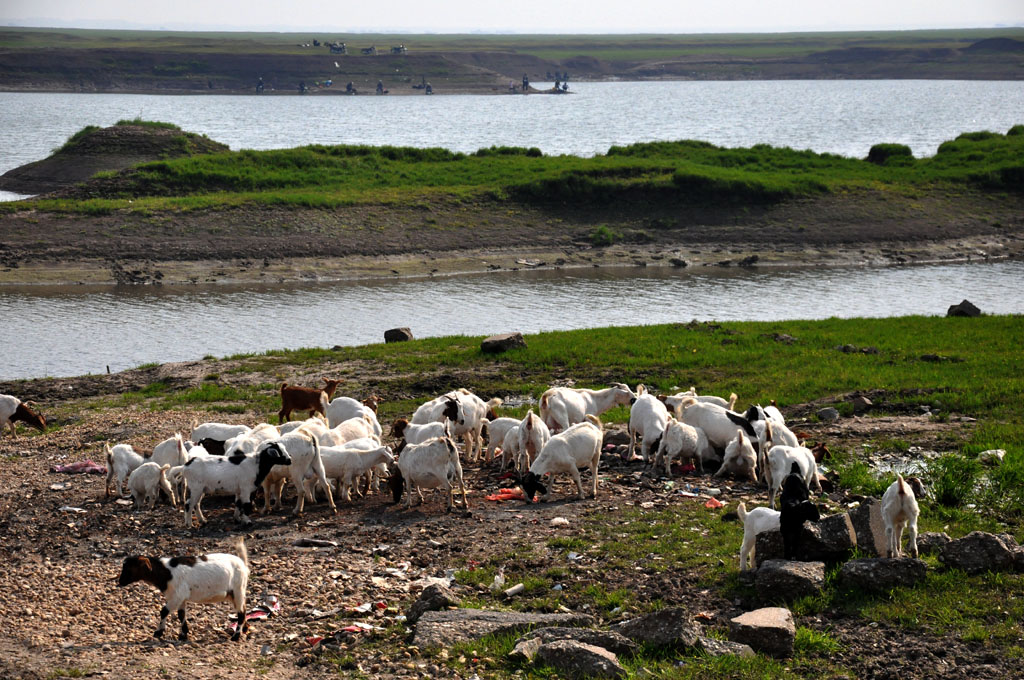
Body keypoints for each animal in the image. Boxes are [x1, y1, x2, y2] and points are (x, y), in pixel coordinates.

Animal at [116, 536, 249, 643]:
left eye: (129, 569)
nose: (120, 582)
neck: (166, 572)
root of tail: (243, 563)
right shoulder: (180, 597)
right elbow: (181, 615)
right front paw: (183, 634)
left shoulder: (177, 595)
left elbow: (164, 611)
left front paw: (159, 632)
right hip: (232, 594)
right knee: (243, 610)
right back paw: (245, 628)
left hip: (238, 590)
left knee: (241, 613)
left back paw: (236, 636)